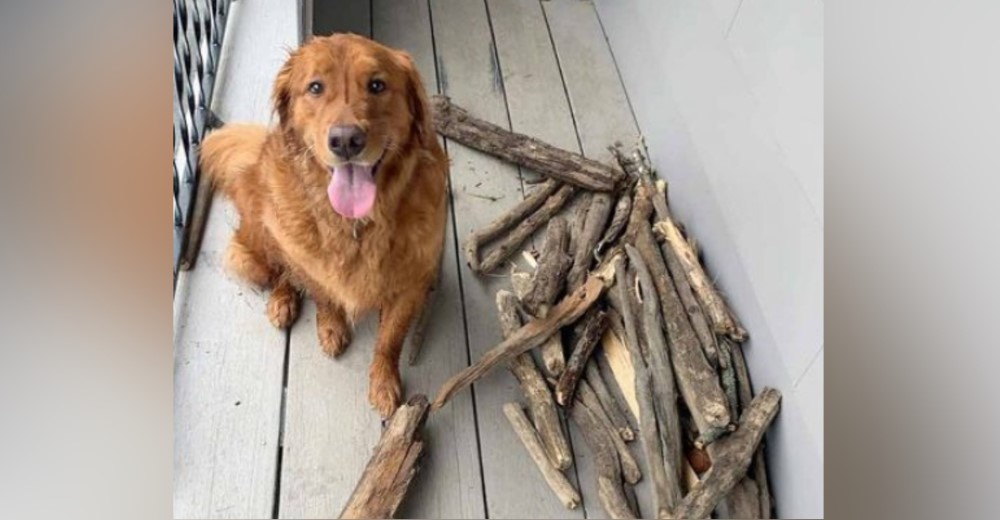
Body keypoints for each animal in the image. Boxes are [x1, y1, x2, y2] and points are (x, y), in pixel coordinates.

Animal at [201, 34, 448, 416]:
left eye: (377, 85)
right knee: (280, 272)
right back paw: (282, 301)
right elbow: (323, 295)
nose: (346, 140)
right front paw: (331, 327)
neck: (357, 224)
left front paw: (383, 382)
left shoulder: (412, 283)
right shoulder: (310, 263)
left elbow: (390, 339)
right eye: (315, 87)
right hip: (257, 249)